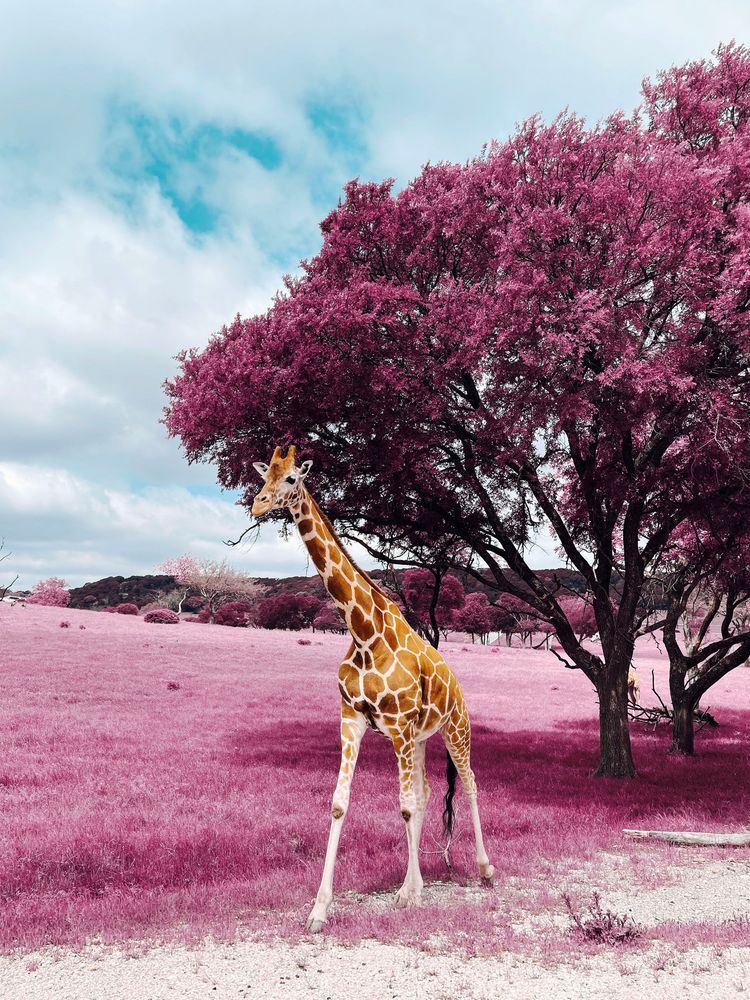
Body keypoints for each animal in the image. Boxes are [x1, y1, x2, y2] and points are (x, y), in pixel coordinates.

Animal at [251, 446, 495, 933]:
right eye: (264, 476)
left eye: (291, 479)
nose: (258, 505)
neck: (363, 631)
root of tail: (458, 685)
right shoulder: (352, 719)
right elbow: (341, 803)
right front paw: (320, 910)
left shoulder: (397, 725)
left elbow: (403, 806)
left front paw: (410, 894)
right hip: (419, 738)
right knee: (425, 791)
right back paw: (414, 882)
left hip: (455, 728)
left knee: (470, 783)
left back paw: (484, 869)